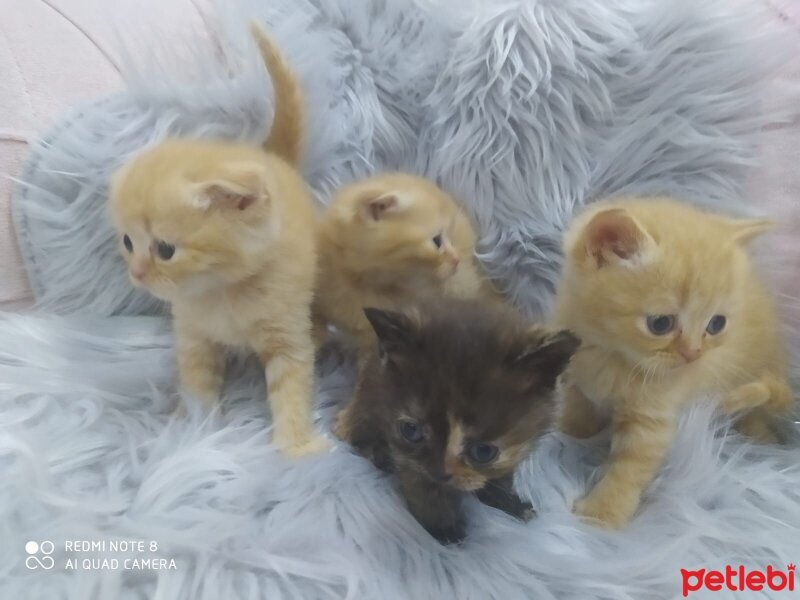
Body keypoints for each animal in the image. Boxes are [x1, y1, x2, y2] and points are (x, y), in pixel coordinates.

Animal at [109, 22, 328, 454]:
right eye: (128, 242)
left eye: (165, 249)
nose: (137, 273)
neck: (220, 291)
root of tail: (272, 157)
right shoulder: (194, 338)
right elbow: (197, 383)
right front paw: (194, 433)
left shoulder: (287, 335)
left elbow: (291, 389)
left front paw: (295, 448)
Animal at [334, 298, 580, 544]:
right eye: (410, 430)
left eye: (483, 451)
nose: (440, 473)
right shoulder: (407, 453)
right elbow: (421, 484)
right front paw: (443, 526)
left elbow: (502, 473)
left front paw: (508, 501)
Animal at [556, 197, 792, 524]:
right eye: (660, 324)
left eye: (716, 324)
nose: (694, 354)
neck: (611, 355)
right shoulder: (577, 374)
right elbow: (578, 406)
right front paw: (571, 432)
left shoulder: (652, 417)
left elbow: (630, 467)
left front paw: (603, 513)